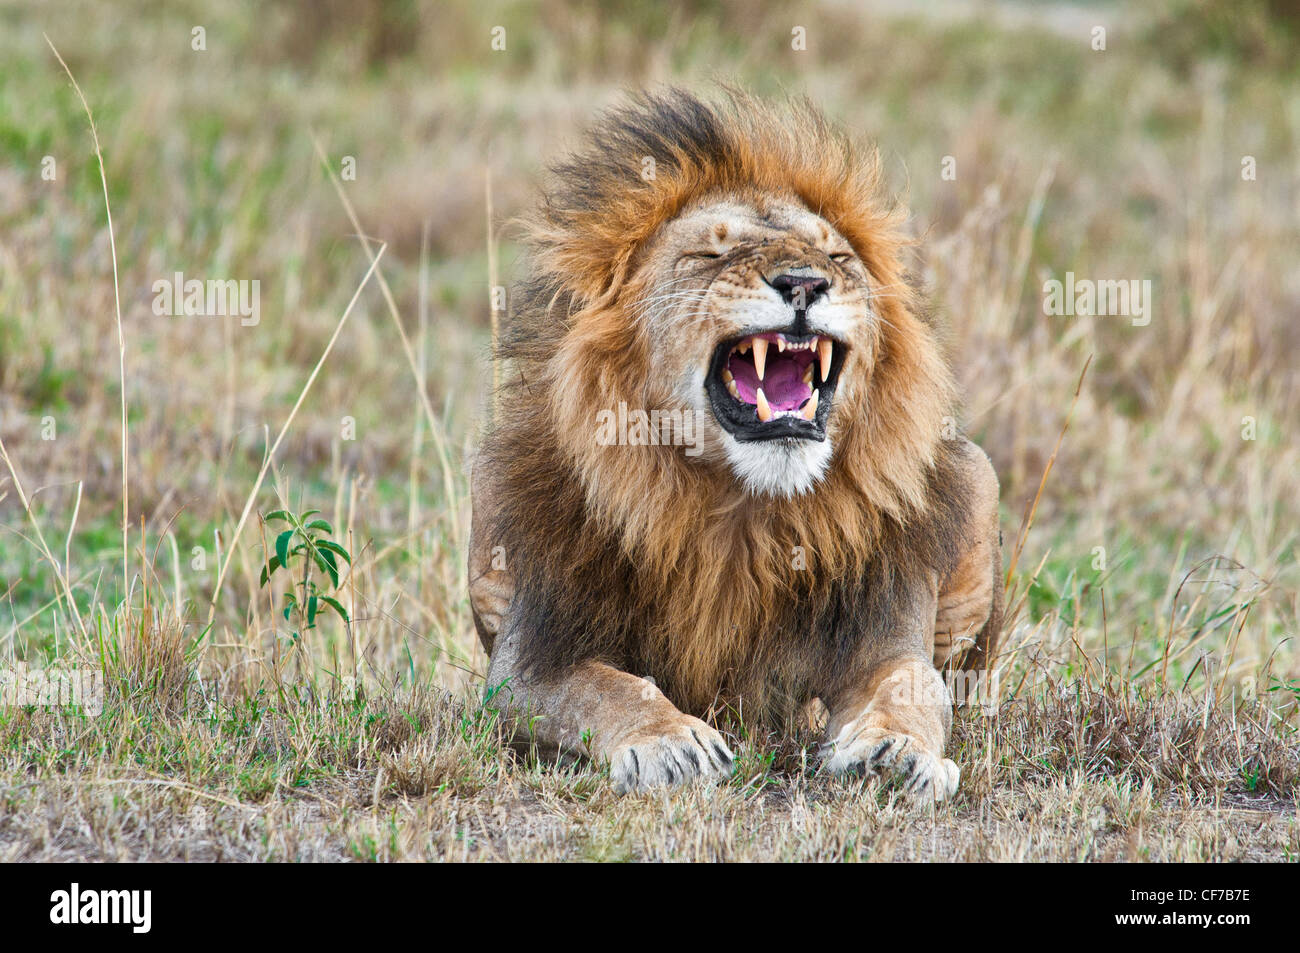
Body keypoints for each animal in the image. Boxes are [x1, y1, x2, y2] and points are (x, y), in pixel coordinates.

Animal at [470, 91, 1003, 800]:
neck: (741, 505)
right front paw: (671, 746)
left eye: (838, 260)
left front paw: (897, 754)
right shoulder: (531, 659)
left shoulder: (884, 635)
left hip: (978, 473)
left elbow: (908, 689)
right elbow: (610, 689)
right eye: (708, 257)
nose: (805, 283)